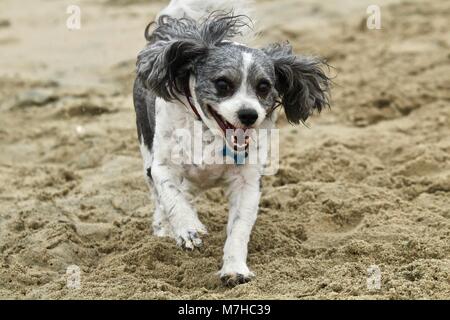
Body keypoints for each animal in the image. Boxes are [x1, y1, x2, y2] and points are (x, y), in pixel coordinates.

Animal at [132, 0, 328, 284]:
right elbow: (171, 197)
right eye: (223, 83)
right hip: (146, 143)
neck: (211, 135)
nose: (249, 114)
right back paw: (166, 227)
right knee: (160, 195)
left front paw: (235, 269)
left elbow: (238, 228)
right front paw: (188, 228)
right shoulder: (162, 166)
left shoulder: (247, 182)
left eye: (263, 87)